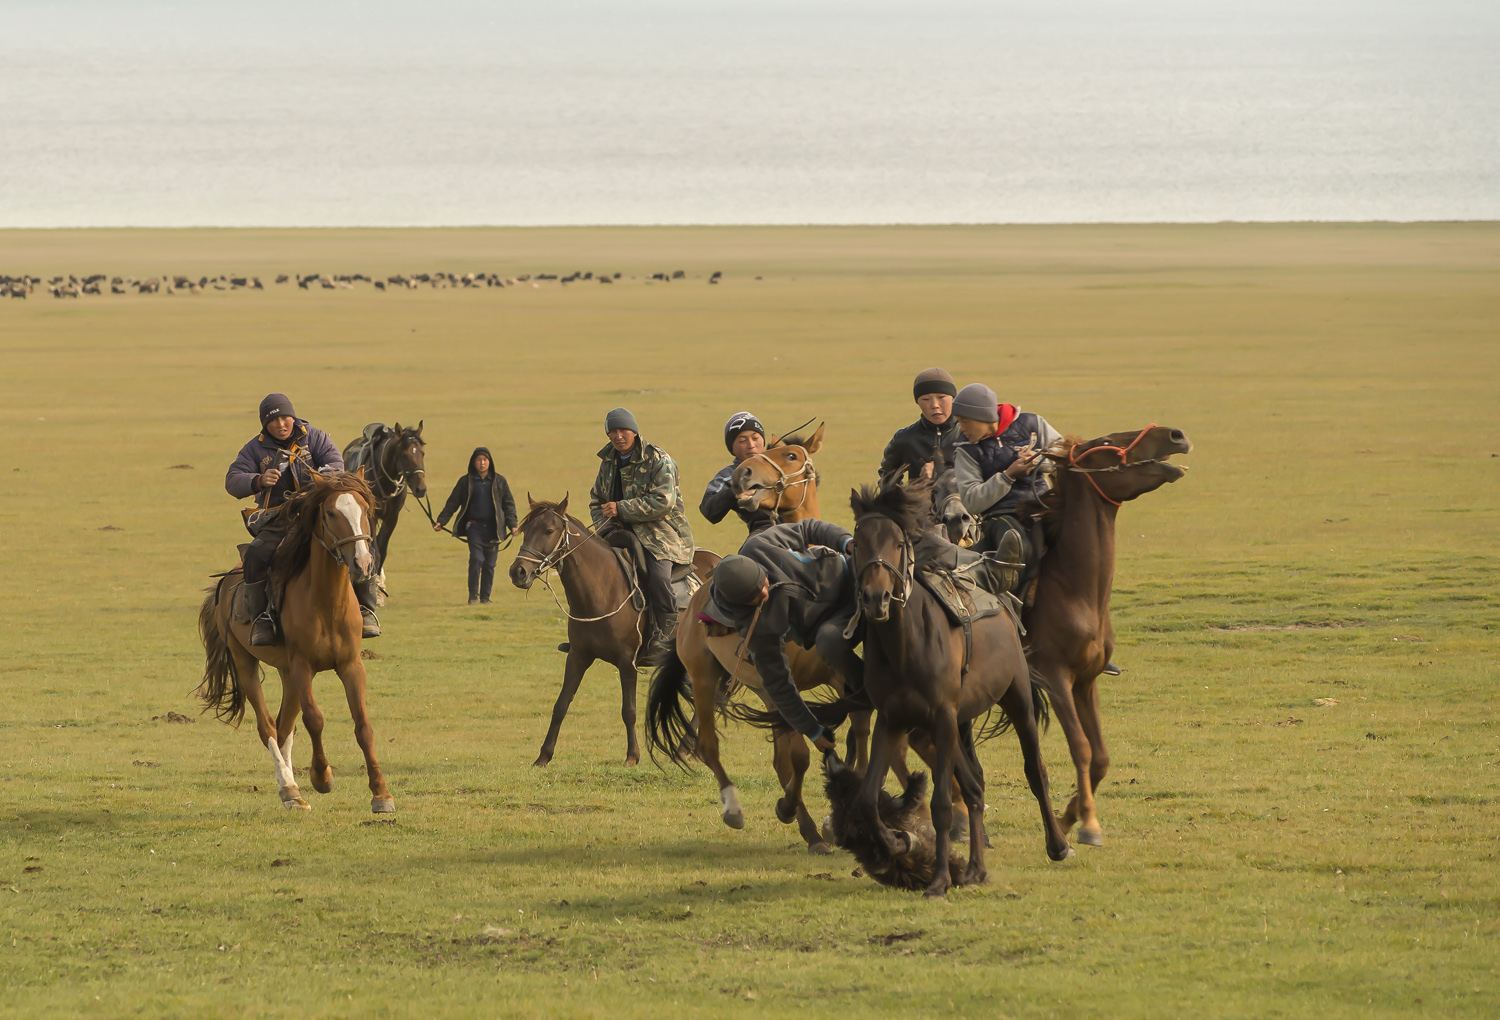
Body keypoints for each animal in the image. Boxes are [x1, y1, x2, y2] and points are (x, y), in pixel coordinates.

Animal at [196, 468, 396, 810]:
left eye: (365, 510)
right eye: (330, 513)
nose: (362, 563)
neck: (327, 603)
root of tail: (224, 584)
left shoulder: (350, 665)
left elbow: (363, 726)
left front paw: (380, 793)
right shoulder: (303, 666)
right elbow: (314, 720)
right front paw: (322, 777)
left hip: (287, 674)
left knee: (283, 727)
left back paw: (293, 791)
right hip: (247, 662)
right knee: (267, 727)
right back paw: (289, 788)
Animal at [342, 420, 429, 603]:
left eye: (422, 453)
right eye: (404, 455)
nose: (421, 489)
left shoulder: (392, 518)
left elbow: (382, 550)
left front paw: (379, 587)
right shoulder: (371, 517)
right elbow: (375, 551)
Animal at [504, 498, 714, 768]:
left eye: (549, 531)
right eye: (525, 530)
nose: (518, 571)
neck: (602, 589)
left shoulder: (627, 662)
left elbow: (629, 710)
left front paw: (632, 756)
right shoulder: (578, 656)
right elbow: (561, 705)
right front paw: (543, 756)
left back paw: (683, 749)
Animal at [1020, 423, 1194, 846]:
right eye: (1105, 444)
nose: (1176, 434)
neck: (1074, 590)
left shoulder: (1086, 681)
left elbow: (1099, 756)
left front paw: (1069, 818)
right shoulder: (1054, 676)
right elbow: (1081, 748)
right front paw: (1089, 825)